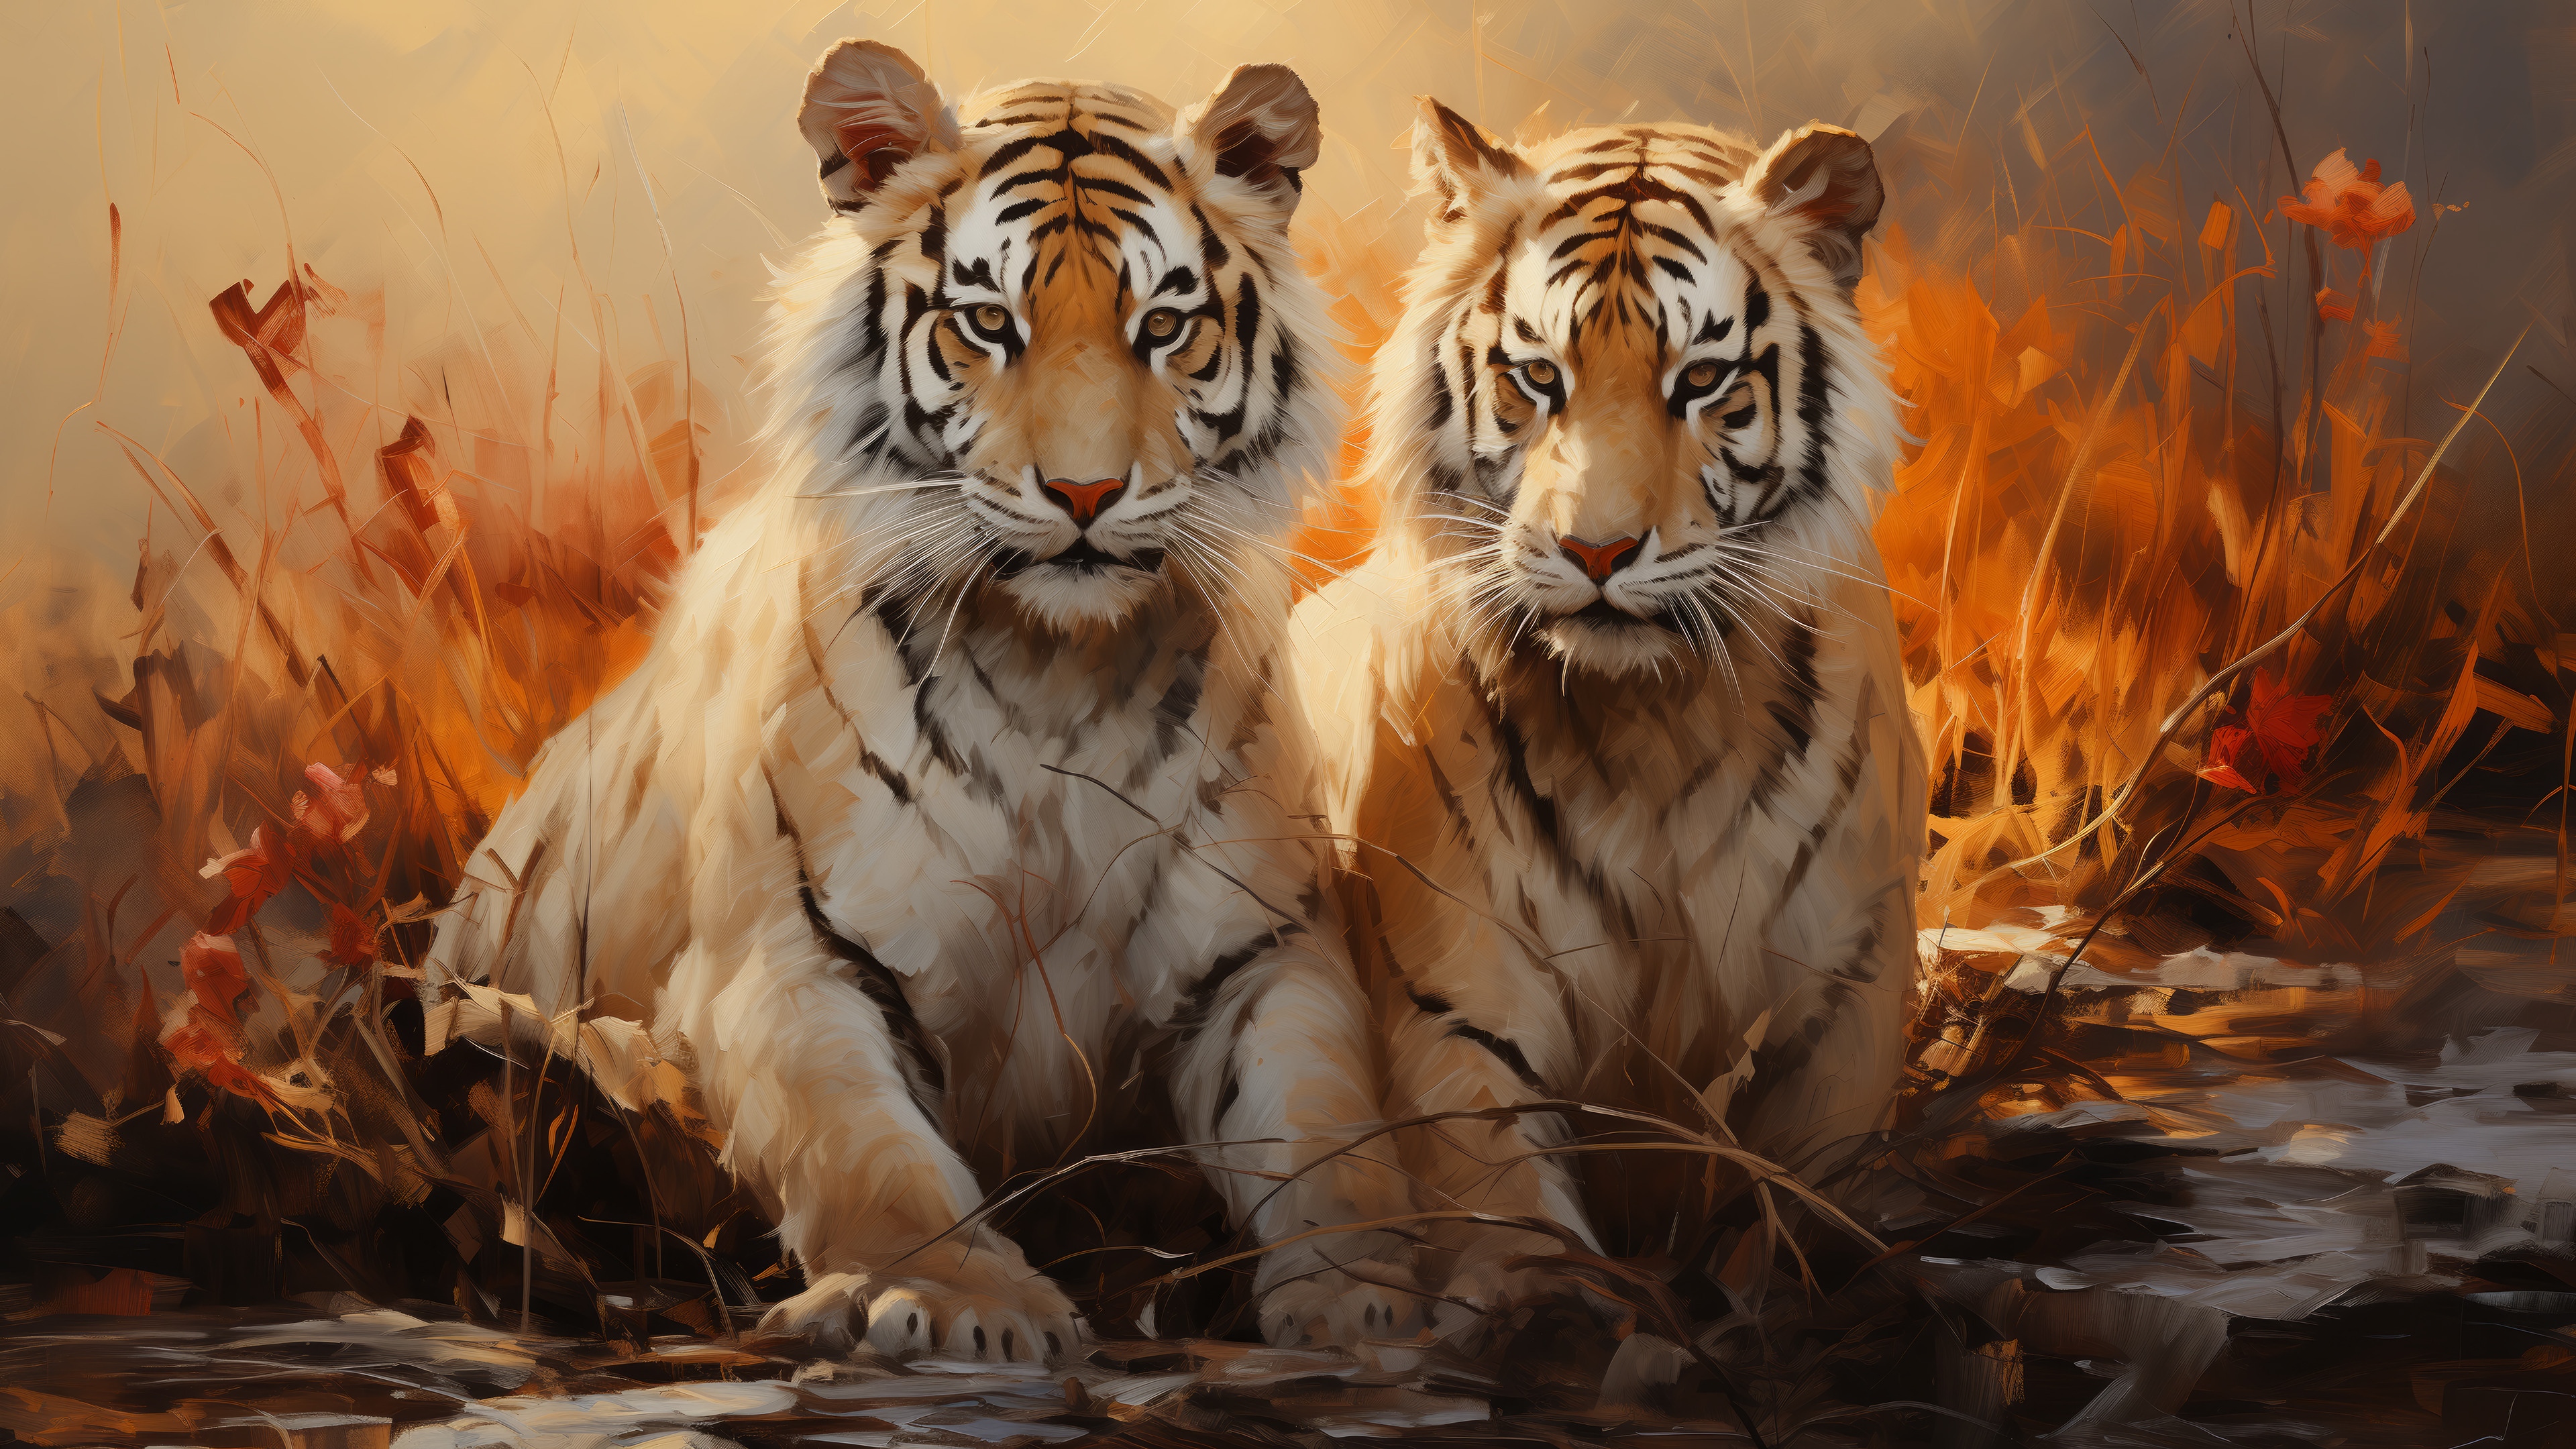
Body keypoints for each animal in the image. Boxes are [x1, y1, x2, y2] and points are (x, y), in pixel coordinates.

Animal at [425, 40, 1417, 1360]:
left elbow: (1331, 1127)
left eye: (1164, 326)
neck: (1061, 673)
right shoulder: (791, 958)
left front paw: (1378, 1287)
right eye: (988, 321)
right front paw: (960, 1306)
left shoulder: (1262, 951)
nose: (1086, 494)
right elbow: (869, 1149)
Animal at [1289, 100, 1925, 1328]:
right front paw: (1555, 1312)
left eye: (1703, 379)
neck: (1654, 726)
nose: (1596, 552)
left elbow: (1797, 1197)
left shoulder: (1841, 995)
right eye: (1538, 377)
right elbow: (1500, 1194)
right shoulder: (1457, 999)